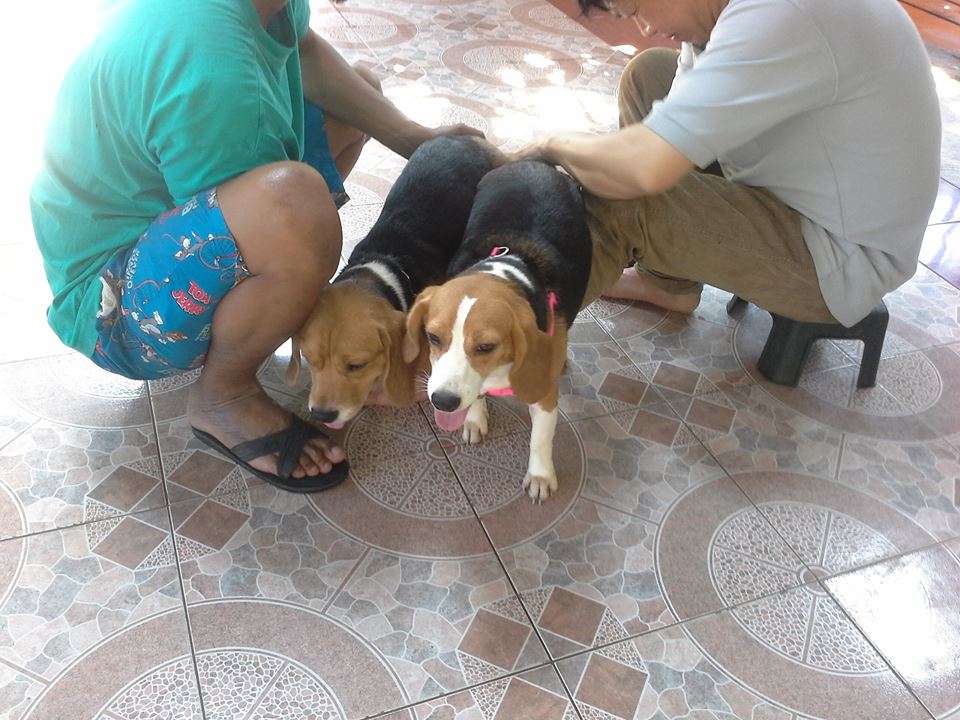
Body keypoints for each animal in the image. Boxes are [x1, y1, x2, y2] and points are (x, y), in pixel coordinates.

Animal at [403, 160, 592, 501]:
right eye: (433, 337)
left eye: (486, 347)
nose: (443, 402)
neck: (509, 269)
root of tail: (534, 163)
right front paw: (475, 417)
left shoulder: (543, 390)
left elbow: (540, 438)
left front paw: (540, 475)